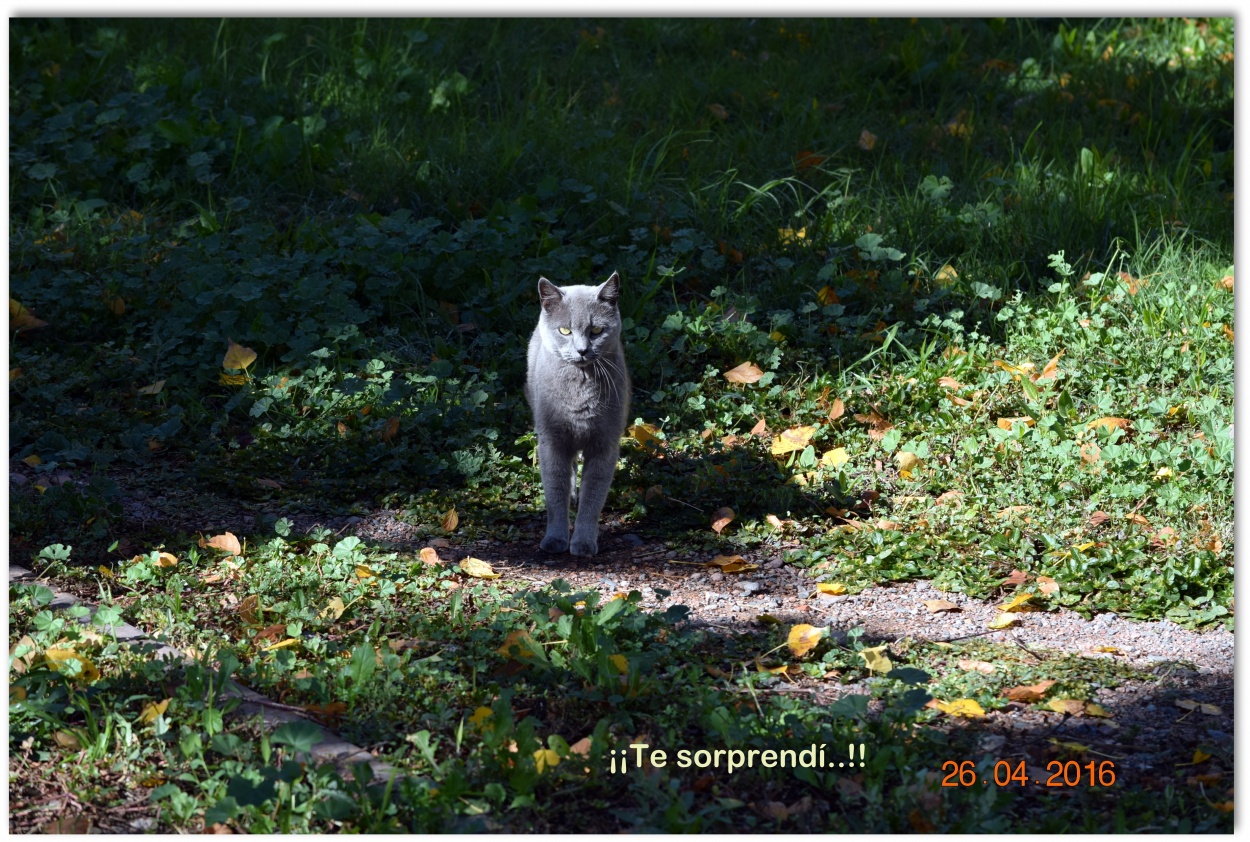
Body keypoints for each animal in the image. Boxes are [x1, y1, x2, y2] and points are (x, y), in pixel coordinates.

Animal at [522, 272, 630, 554]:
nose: (582, 350)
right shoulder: (552, 440)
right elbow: (555, 492)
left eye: (596, 331)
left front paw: (583, 542)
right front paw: (555, 539)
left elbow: (593, 498)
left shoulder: (605, 444)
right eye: (565, 330)